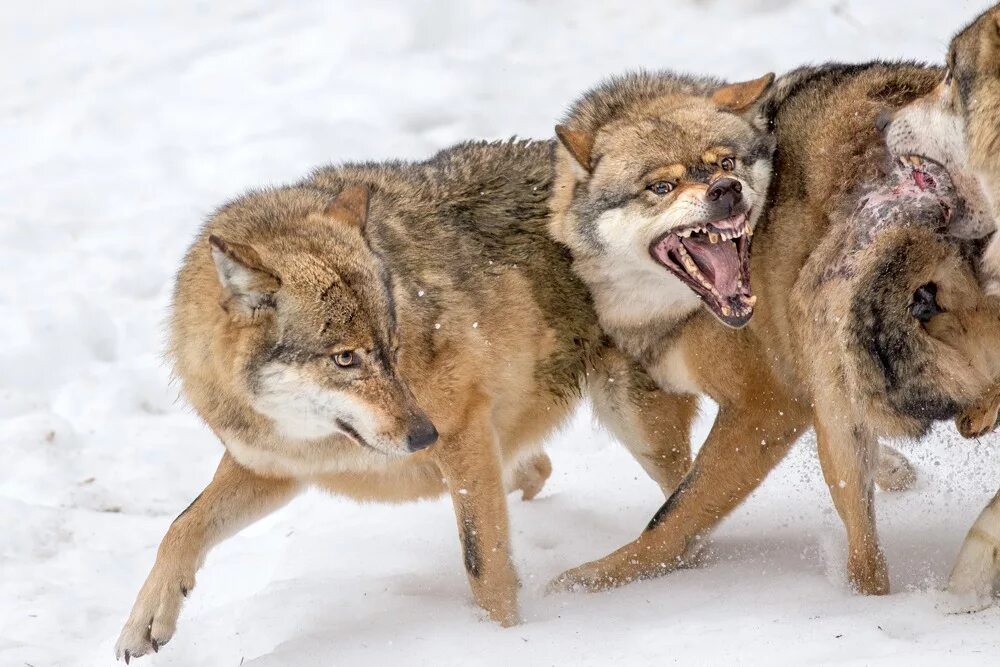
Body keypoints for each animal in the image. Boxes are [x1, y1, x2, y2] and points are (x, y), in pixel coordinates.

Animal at [113, 141, 704, 664]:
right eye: (345, 358)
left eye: (390, 347)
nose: (424, 437)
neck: (310, 437)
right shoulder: (273, 467)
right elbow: (182, 526)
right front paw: (144, 623)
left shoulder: (464, 433)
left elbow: (483, 567)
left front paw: (506, 643)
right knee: (544, 468)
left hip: (635, 420)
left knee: (688, 506)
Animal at [548, 61, 1000, 596]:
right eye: (661, 187)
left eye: (725, 163)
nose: (725, 190)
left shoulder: (767, 405)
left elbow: (676, 511)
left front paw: (595, 578)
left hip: (831, 394)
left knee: (867, 563)